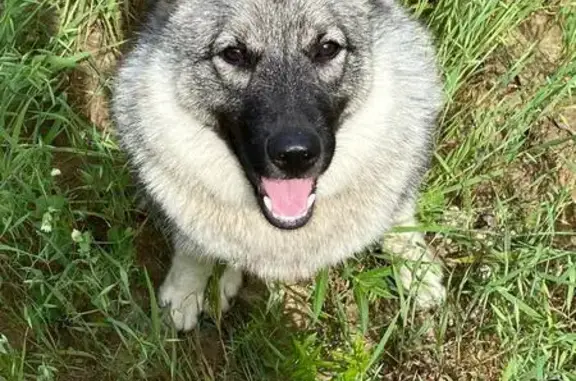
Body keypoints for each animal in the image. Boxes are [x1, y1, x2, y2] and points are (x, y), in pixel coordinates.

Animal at [111, 0, 446, 330]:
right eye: (234, 54)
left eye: (327, 48)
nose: (295, 154)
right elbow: (192, 249)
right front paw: (186, 291)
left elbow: (399, 214)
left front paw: (416, 268)